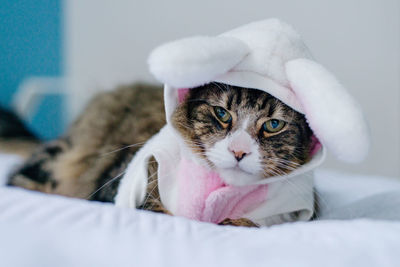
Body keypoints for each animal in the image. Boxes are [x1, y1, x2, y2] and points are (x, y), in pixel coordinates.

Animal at [6, 82, 312, 227]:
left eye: (273, 125)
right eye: (222, 114)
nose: (239, 150)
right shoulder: (119, 181)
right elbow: (161, 211)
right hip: (57, 160)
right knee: (18, 180)